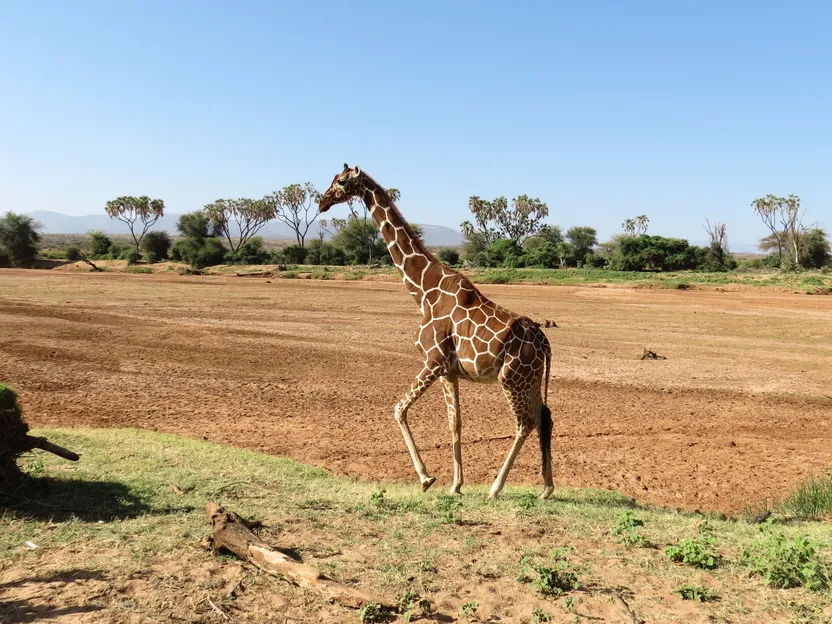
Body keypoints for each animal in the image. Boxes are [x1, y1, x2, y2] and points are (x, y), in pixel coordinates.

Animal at [322, 163, 556, 500]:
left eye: (340, 182)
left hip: (511, 378)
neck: (423, 291)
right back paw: (547, 488)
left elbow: (398, 410)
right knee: (544, 417)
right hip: (531, 378)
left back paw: (496, 488)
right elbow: (455, 423)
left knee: (524, 423)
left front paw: (426, 478)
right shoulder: (449, 370)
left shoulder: (432, 361)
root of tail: (546, 344)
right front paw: (455, 485)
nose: (322, 202)